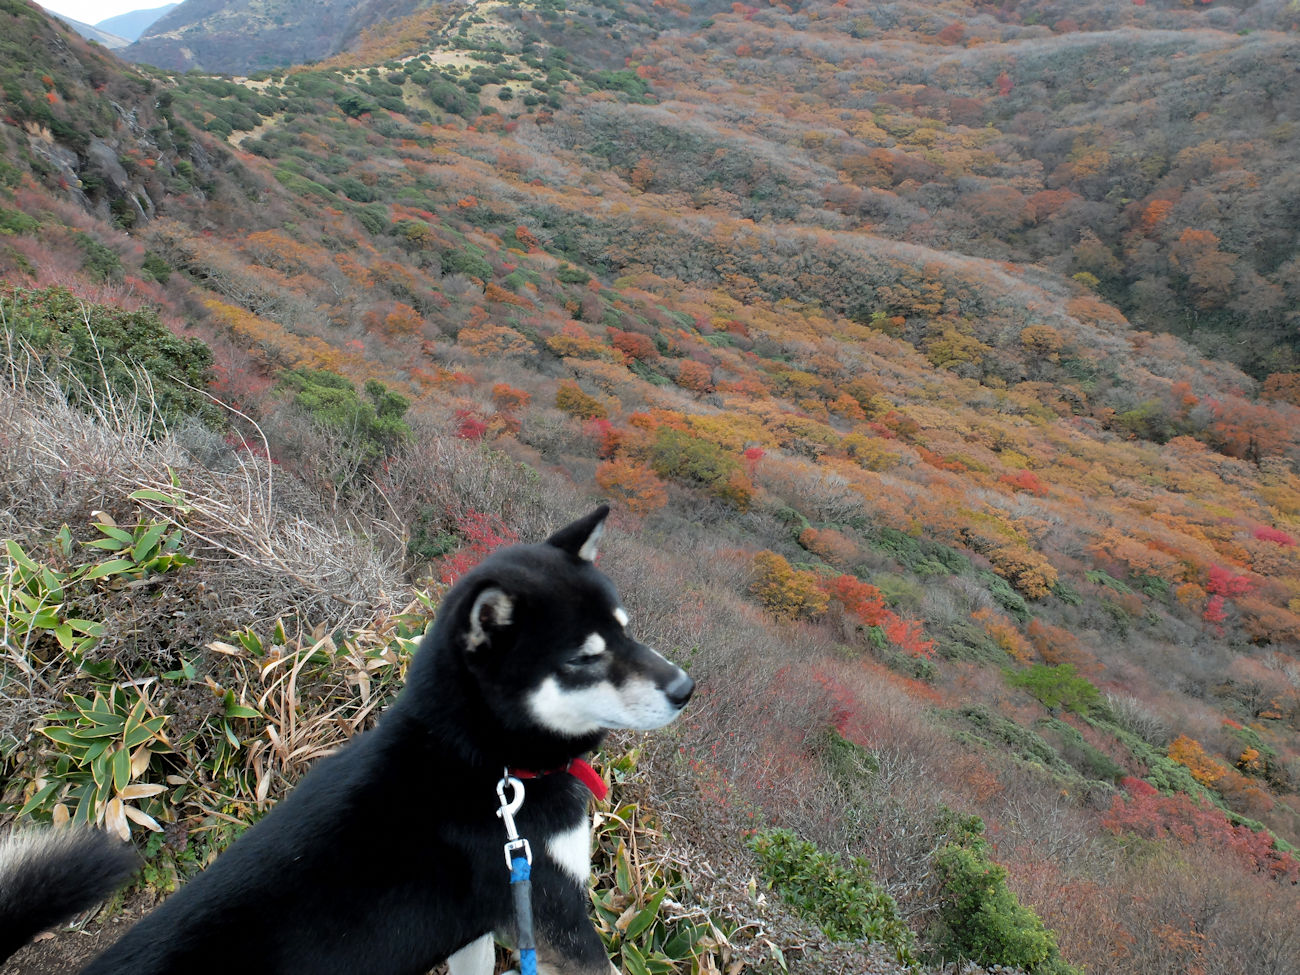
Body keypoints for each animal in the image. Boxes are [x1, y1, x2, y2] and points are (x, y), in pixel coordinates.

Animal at [0, 506, 694, 974]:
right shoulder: (554, 910)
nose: (686, 687)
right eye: (584, 658)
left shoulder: (480, 925)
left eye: (626, 630)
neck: (492, 766)